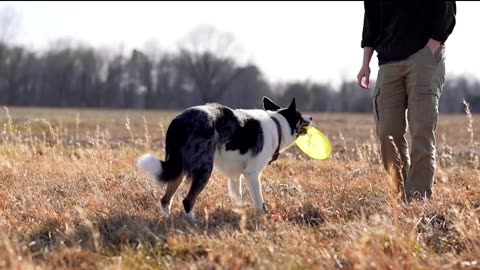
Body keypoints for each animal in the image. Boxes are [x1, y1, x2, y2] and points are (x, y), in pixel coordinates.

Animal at [137, 96, 314, 220]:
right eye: (299, 115)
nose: (311, 117)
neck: (277, 125)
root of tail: (179, 121)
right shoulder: (252, 174)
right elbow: (259, 200)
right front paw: (263, 216)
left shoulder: (235, 176)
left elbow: (238, 197)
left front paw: (239, 213)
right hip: (204, 170)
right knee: (187, 200)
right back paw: (192, 222)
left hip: (178, 169)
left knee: (165, 199)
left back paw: (169, 219)